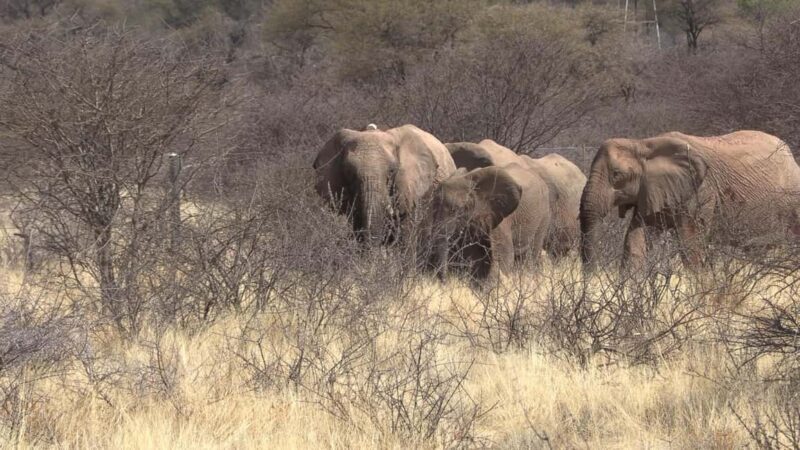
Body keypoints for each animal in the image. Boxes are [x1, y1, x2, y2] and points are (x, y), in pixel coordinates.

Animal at [579, 130, 800, 269]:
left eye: (617, 175)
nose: (591, 276)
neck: (643, 144)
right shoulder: (651, 189)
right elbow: (636, 239)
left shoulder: (701, 190)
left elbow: (690, 242)